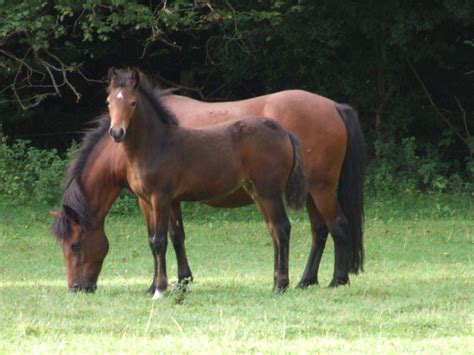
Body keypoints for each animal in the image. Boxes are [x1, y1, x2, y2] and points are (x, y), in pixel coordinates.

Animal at [50, 69, 364, 294]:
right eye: (107, 103)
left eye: (75, 244)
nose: (76, 287)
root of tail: (334, 106)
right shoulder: (161, 200)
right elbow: (172, 237)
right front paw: (174, 281)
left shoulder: (156, 198)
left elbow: (162, 239)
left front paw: (168, 284)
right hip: (304, 191)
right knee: (317, 230)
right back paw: (305, 280)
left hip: (317, 189)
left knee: (335, 225)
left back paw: (335, 280)